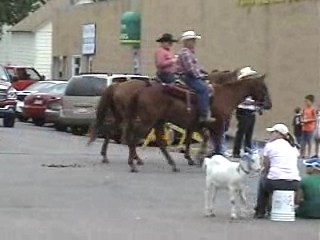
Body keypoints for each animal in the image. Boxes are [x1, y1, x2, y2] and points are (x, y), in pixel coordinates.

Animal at [116, 74, 272, 172]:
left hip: (158, 121)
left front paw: (197, 158)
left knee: (159, 142)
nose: (269, 105)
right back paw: (133, 164)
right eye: (263, 87)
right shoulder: (217, 126)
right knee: (133, 138)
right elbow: (216, 145)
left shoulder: (200, 126)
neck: (225, 96)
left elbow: (202, 140)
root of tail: (142, 90)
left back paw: (172, 164)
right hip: (148, 121)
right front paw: (204, 159)